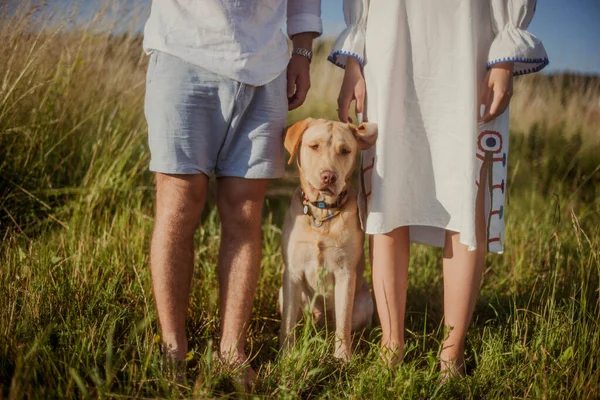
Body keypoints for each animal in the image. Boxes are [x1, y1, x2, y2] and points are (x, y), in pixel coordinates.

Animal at [278, 117, 378, 360]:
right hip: (283, 292)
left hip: (365, 301)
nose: (329, 176)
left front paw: (342, 358)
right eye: (314, 146)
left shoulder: (345, 274)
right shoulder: (292, 272)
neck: (321, 213)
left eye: (345, 151)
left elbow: (343, 321)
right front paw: (286, 355)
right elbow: (287, 323)